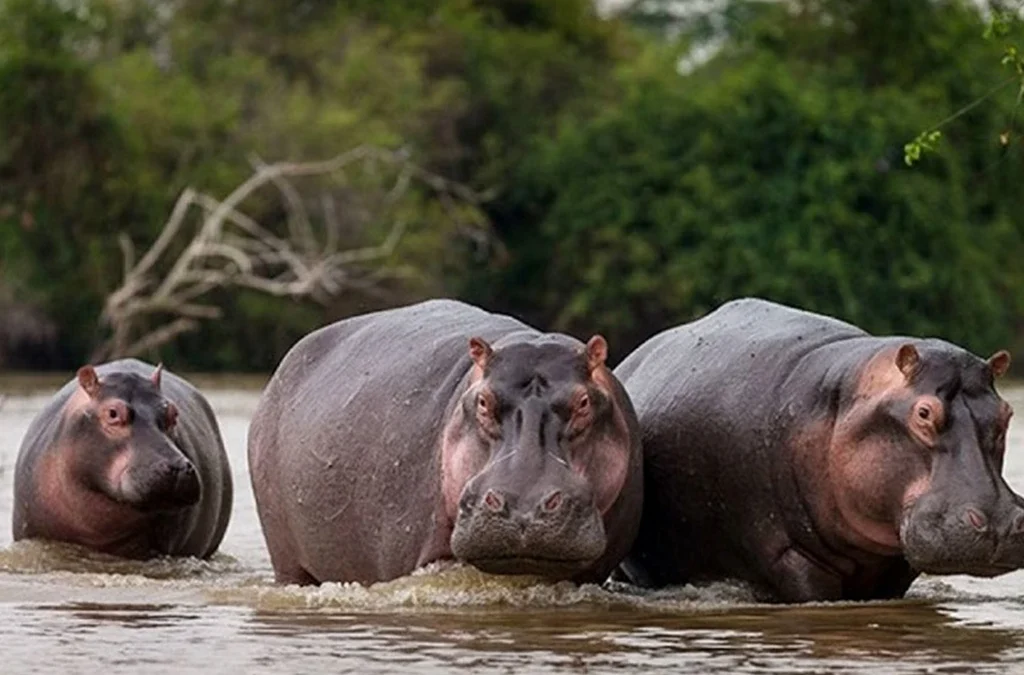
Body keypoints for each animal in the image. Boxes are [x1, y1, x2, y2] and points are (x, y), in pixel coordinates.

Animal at [615, 298, 1021, 602]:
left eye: (1006, 413)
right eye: (923, 413)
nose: (1000, 523)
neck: (845, 400)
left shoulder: (896, 565)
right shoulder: (790, 555)